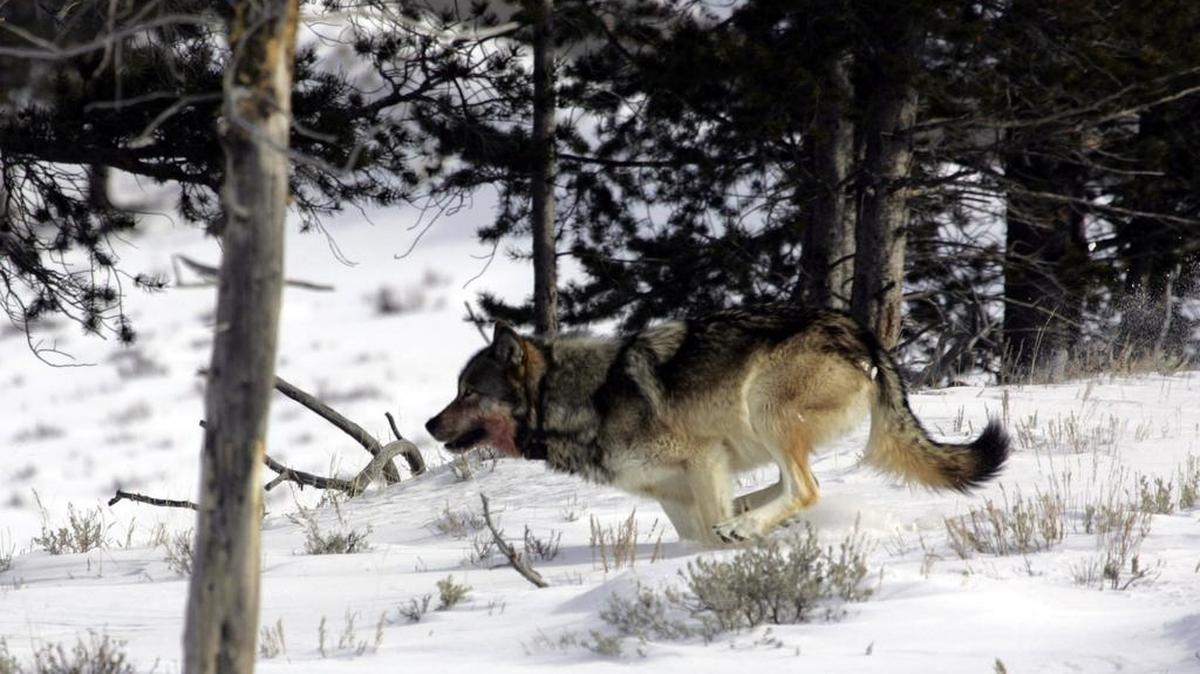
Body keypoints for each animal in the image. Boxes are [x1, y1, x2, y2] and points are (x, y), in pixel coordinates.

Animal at [425, 305, 1009, 546]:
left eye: (469, 392)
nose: (429, 424)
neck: (577, 398)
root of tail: (862, 332)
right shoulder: (672, 492)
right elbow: (695, 536)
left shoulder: (703, 458)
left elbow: (708, 531)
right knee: (791, 484)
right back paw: (749, 515)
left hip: (763, 407)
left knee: (807, 487)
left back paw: (746, 525)